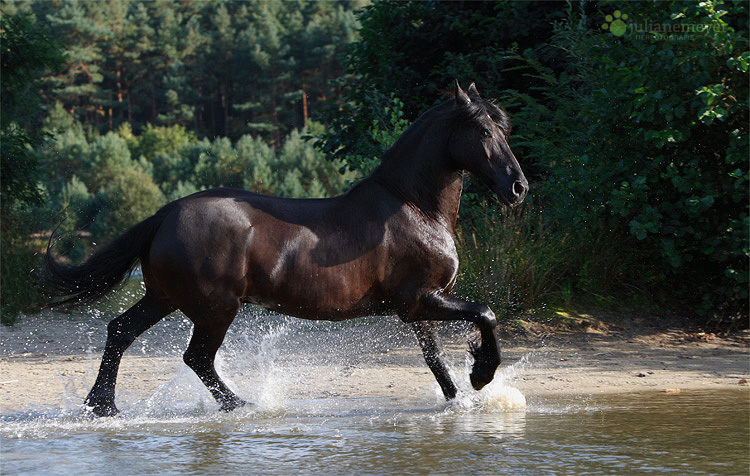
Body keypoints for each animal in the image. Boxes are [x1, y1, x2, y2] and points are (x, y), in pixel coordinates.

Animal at [44, 82, 532, 416]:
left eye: (503, 127)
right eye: (483, 130)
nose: (518, 187)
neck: (413, 206)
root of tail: (167, 214)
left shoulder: (418, 307)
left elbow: (436, 362)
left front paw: (460, 400)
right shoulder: (419, 301)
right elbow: (485, 314)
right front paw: (482, 374)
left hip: (164, 297)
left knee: (120, 331)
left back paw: (102, 406)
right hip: (215, 308)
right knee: (196, 357)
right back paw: (241, 406)